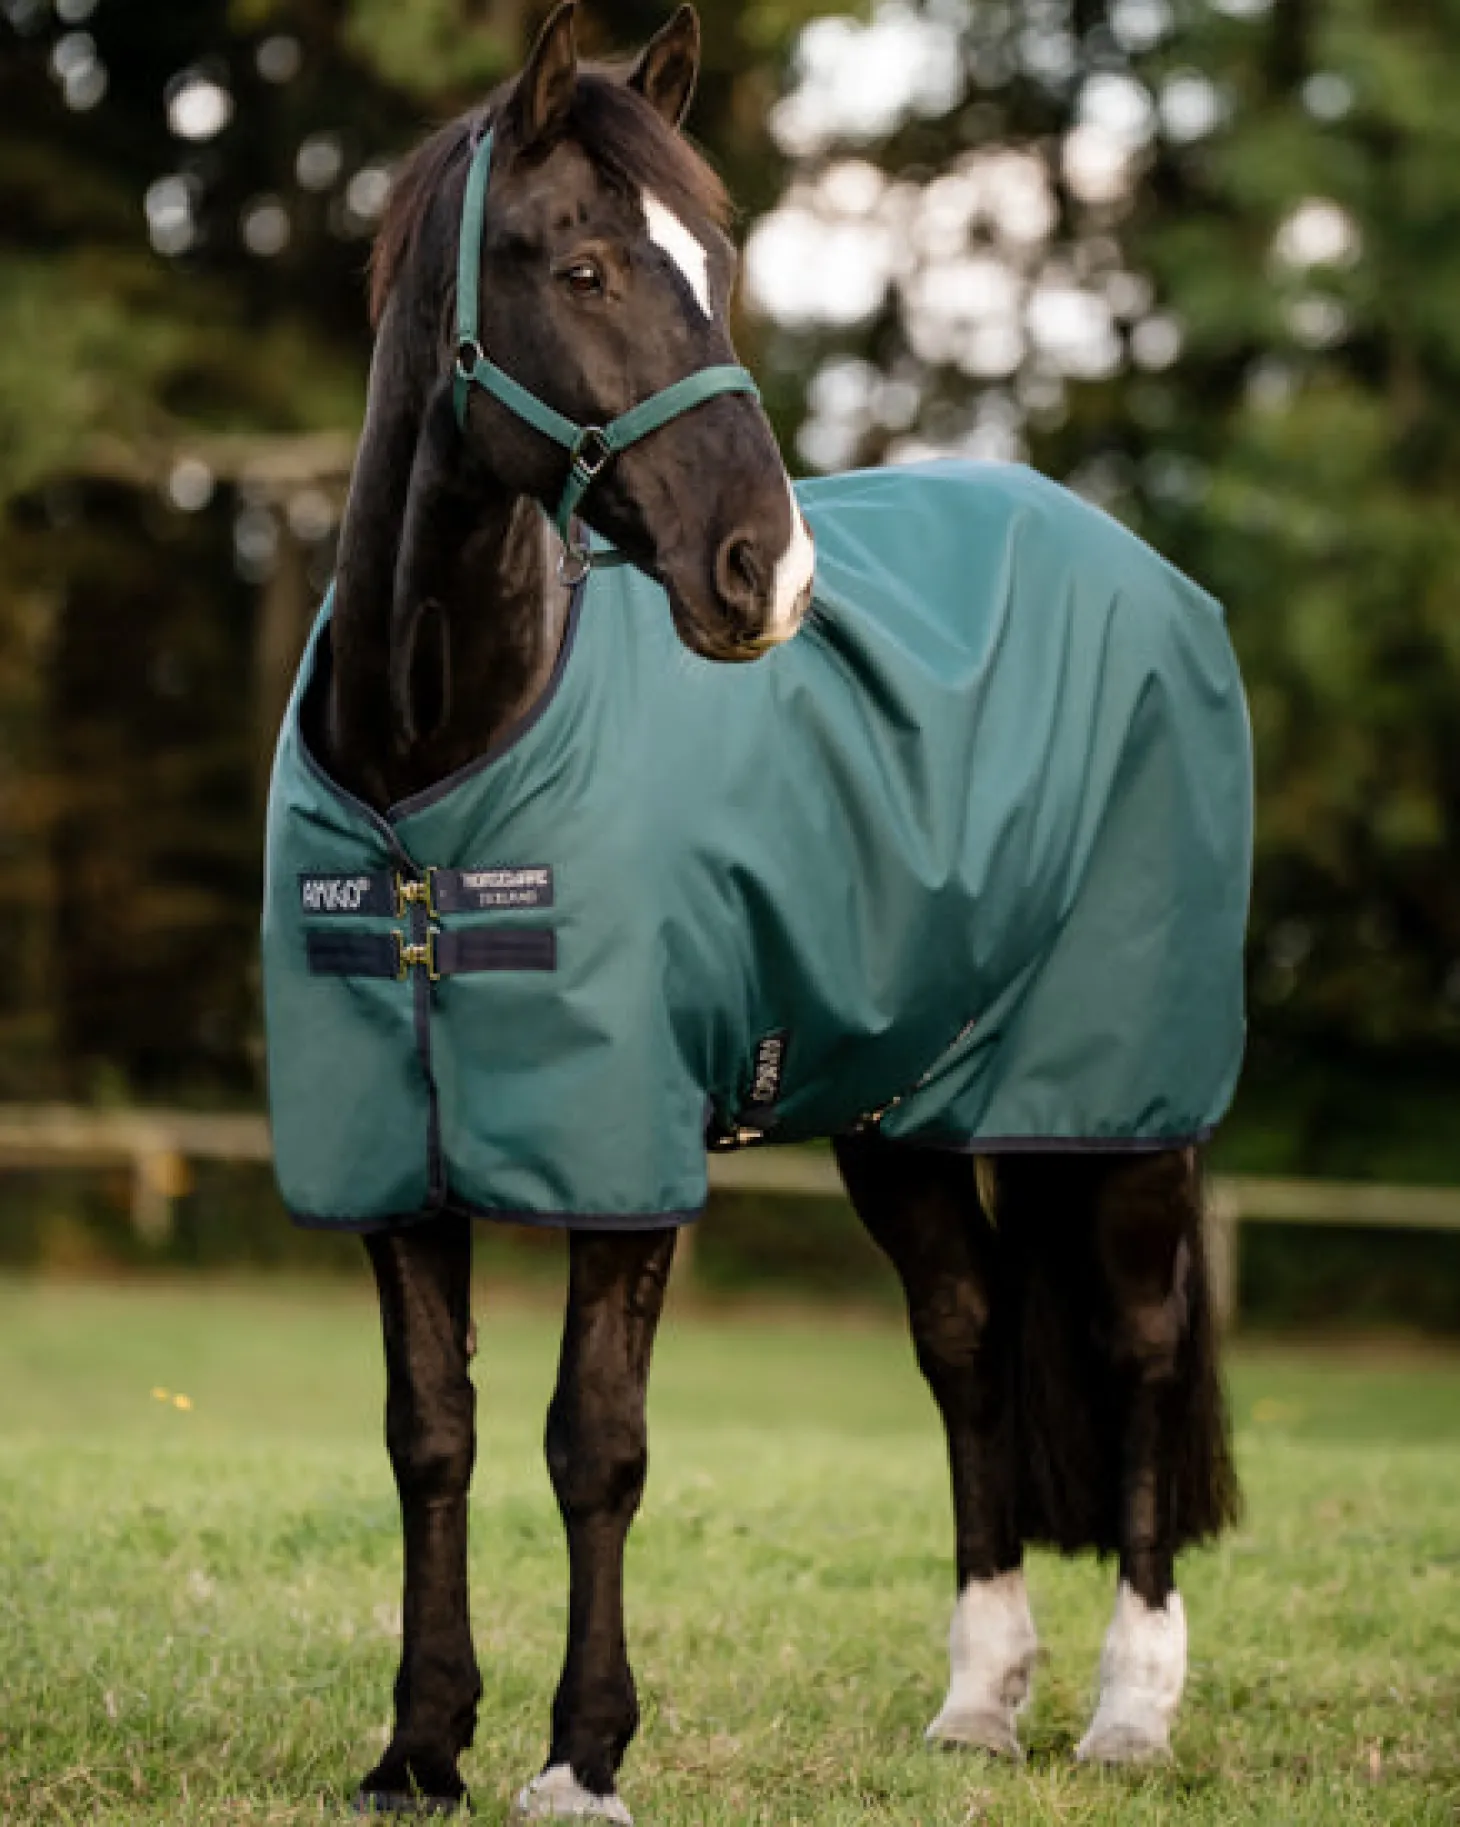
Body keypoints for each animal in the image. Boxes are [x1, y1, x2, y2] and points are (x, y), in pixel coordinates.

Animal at [262, 3, 1248, 1815]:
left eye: (716, 266)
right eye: (581, 264)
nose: (765, 575)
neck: (438, 763)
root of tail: (1142, 567)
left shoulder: (624, 1147)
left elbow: (595, 1439)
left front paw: (582, 1753)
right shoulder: (389, 1156)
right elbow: (429, 1430)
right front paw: (420, 1744)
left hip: (1122, 1105)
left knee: (1139, 1347)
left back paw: (1130, 1707)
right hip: (900, 1111)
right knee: (967, 1337)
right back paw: (980, 1698)